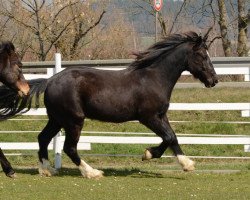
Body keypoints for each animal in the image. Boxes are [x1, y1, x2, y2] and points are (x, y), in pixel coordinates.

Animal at [0, 32, 218, 179]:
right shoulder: (148, 117)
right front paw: (158, 156)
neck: (153, 78)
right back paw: (92, 172)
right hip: (74, 120)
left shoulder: (161, 116)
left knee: (43, 138)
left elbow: (171, 138)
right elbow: (169, 137)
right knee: (69, 147)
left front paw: (177, 161)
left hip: (57, 119)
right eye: (202, 55)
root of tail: (50, 80)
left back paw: (46, 169)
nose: (214, 80)